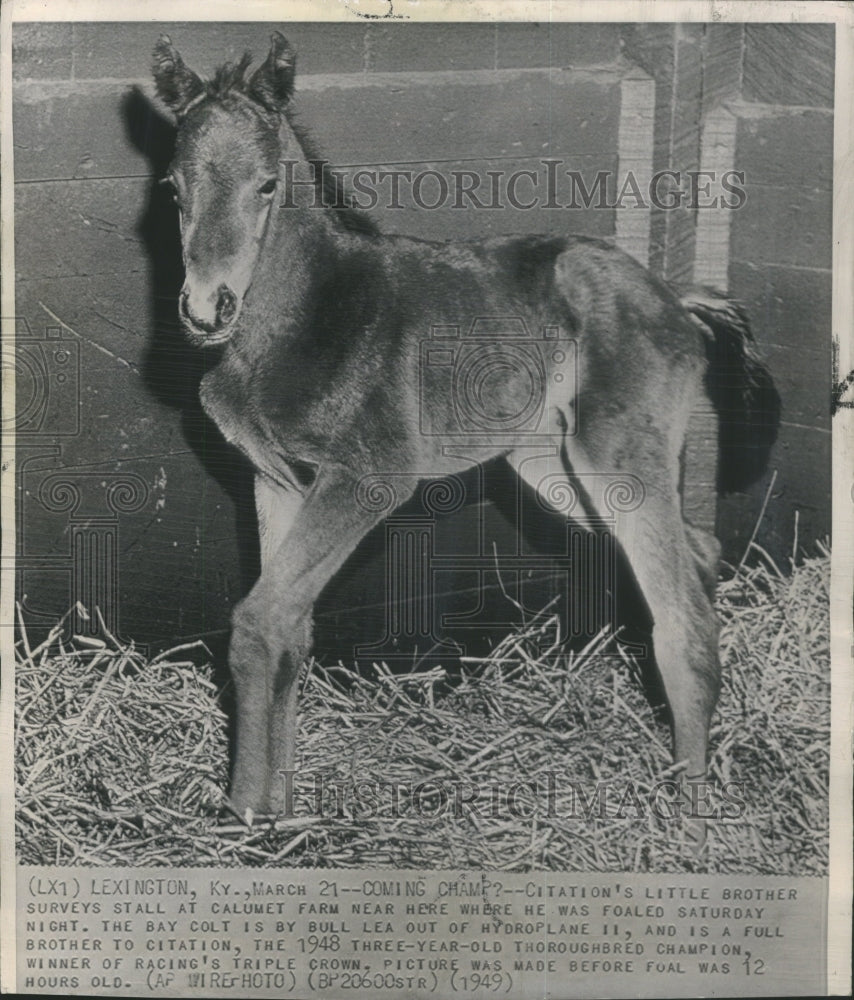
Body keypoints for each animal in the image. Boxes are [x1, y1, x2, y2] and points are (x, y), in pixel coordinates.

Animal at [154, 33, 784, 828]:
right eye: (174, 189)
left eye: (267, 185)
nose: (206, 309)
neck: (304, 317)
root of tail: (674, 296)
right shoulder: (276, 482)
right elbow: (289, 628)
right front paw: (279, 804)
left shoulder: (369, 479)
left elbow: (259, 621)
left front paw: (242, 820)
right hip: (555, 469)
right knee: (699, 554)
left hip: (617, 459)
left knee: (684, 621)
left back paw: (688, 820)